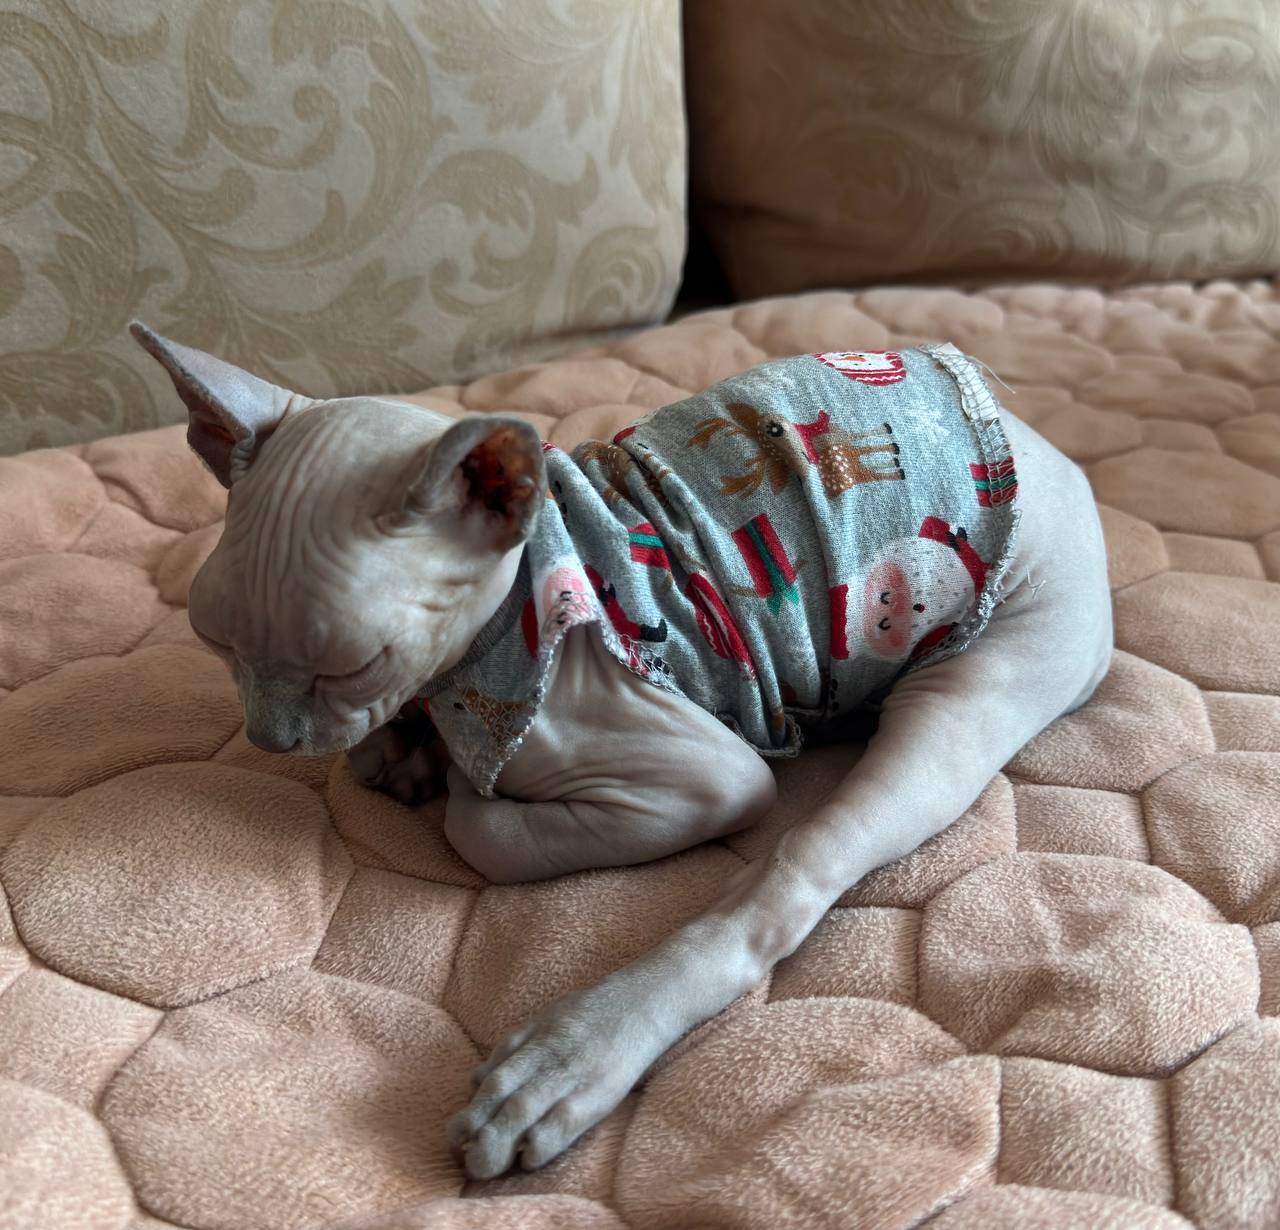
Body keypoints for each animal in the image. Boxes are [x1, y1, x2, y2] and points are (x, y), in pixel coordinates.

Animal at [131, 321, 1112, 1180]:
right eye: (216, 642)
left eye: (351, 662)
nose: (271, 737)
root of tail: (1045, 450)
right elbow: (379, 749)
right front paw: (400, 750)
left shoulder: (699, 769)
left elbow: (477, 829)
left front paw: (450, 775)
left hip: (973, 676)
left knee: (795, 868)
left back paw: (571, 1054)